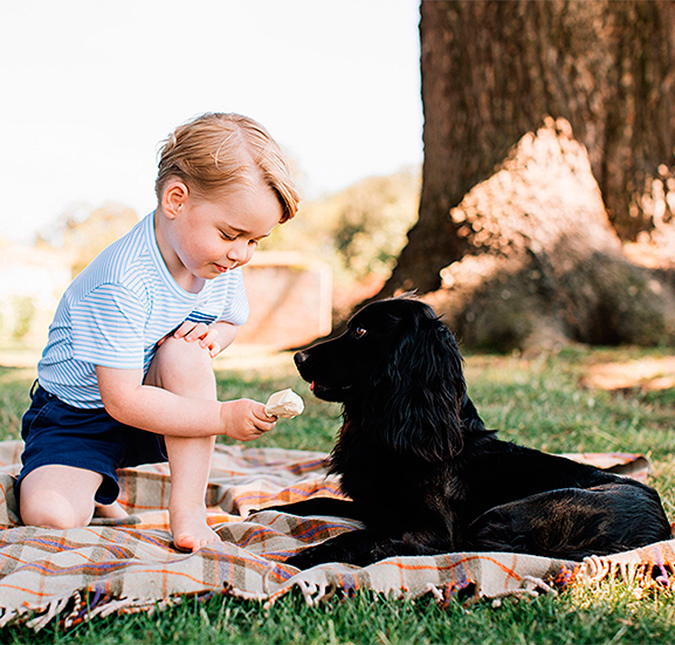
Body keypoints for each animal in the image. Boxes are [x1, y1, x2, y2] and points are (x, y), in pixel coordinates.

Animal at [274, 298, 672, 568]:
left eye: (360, 331)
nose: (298, 357)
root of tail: (661, 528)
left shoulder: (432, 527)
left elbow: (358, 535)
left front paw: (304, 556)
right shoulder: (373, 507)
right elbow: (312, 503)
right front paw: (268, 510)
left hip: (505, 515)